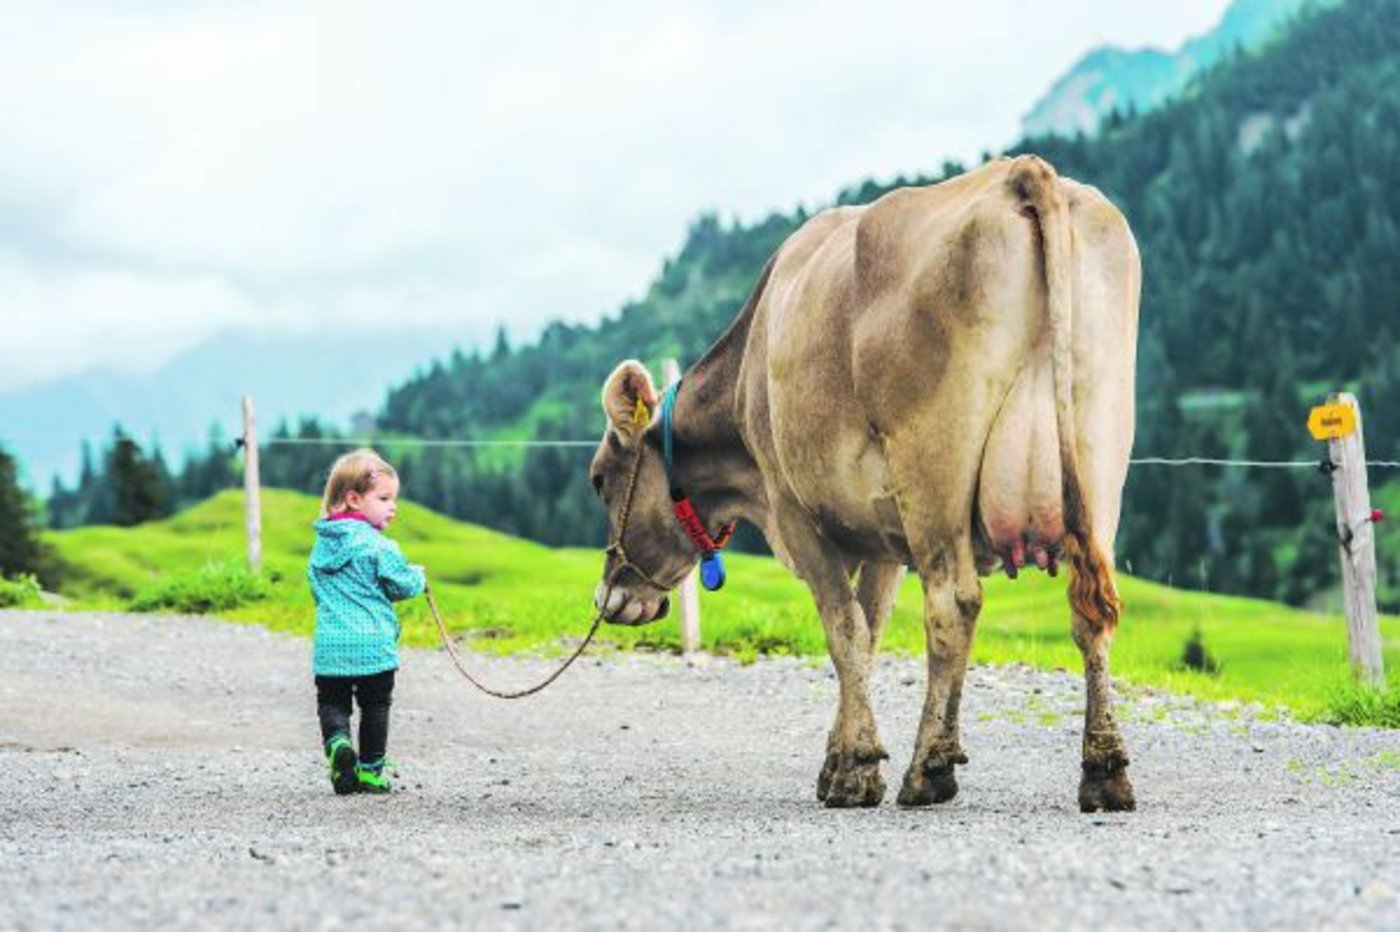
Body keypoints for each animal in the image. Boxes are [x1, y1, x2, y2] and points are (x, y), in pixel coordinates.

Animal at [588, 155, 1140, 812]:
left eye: (599, 480)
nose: (608, 597)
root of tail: (1021, 173)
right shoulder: (883, 533)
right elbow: (871, 630)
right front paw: (842, 759)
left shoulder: (795, 510)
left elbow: (843, 628)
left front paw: (854, 770)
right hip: (1099, 452)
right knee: (1093, 612)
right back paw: (1103, 769)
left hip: (934, 470)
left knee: (953, 604)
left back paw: (930, 769)